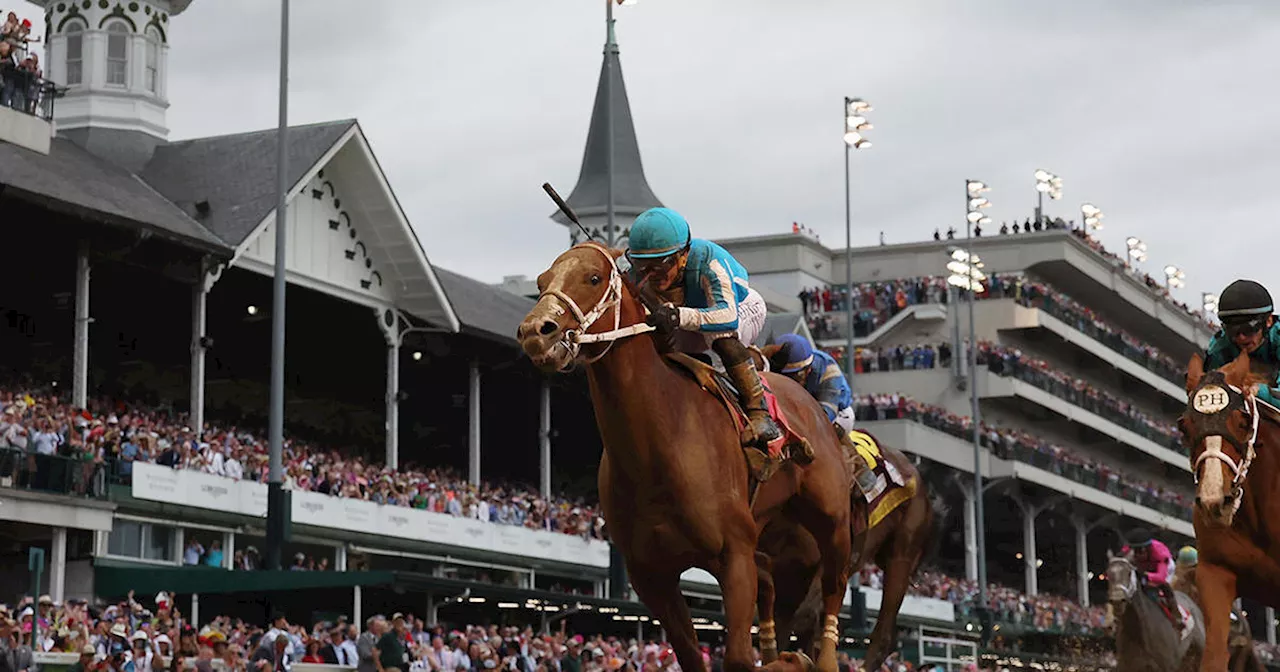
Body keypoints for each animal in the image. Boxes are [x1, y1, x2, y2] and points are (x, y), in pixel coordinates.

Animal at [514, 243, 855, 670]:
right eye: (542, 281)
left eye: (593, 278)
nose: (535, 333)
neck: (658, 446)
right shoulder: (651, 575)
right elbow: (693, 655)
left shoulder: (733, 554)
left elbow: (738, 657)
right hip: (772, 528)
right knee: (773, 582)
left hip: (830, 518)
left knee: (834, 582)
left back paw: (821, 656)